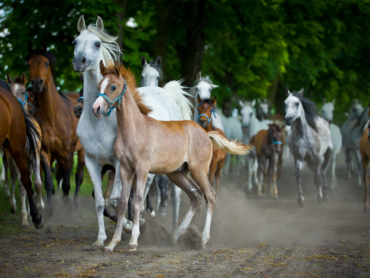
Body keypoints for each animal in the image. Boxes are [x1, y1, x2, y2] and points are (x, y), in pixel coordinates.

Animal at [0, 86, 43, 229]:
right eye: (10, 88)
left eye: (24, 91)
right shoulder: (17, 157)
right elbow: (22, 186)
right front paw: (25, 218)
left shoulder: (35, 155)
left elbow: (37, 183)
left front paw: (40, 206)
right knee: (15, 179)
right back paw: (15, 206)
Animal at [27, 41, 85, 215]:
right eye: (28, 63)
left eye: (46, 63)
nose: (37, 83)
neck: (52, 116)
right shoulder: (45, 152)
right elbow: (48, 182)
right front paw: (51, 210)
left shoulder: (68, 152)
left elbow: (66, 184)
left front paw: (66, 209)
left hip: (81, 151)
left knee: (78, 176)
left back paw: (74, 205)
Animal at [91, 61, 251, 252]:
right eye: (99, 85)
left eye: (113, 86)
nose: (96, 108)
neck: (134, 128)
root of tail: (206, 133)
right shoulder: (125, 169)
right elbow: (123, 203)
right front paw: (112, 243)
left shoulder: (142, 169)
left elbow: (137, 201)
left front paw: (134, 241)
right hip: (178, 174)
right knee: (196, 195)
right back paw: (176, 235)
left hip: (198, 171)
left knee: (210, 195)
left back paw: (203, 239)